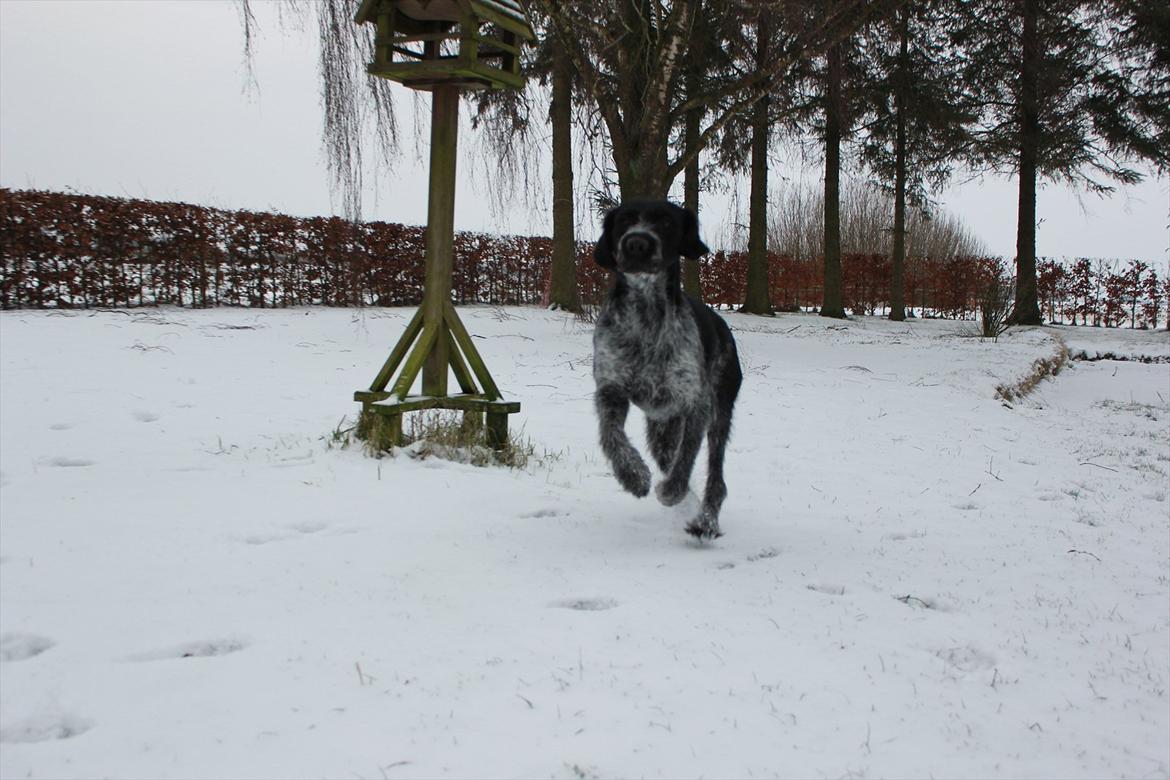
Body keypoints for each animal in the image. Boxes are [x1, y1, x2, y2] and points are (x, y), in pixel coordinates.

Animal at [589, 198, 744, 540]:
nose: (636, 243)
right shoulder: (610, 390)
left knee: (716, 478)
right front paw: (633, 475)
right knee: (667, 454)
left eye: (666, 223)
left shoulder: (696, 403)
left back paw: (705, 521)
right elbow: (611, 436)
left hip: (720, 412)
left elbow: (686, 458)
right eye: (624, 221)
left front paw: (672, 491)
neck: (645, 316)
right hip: (661, 427)